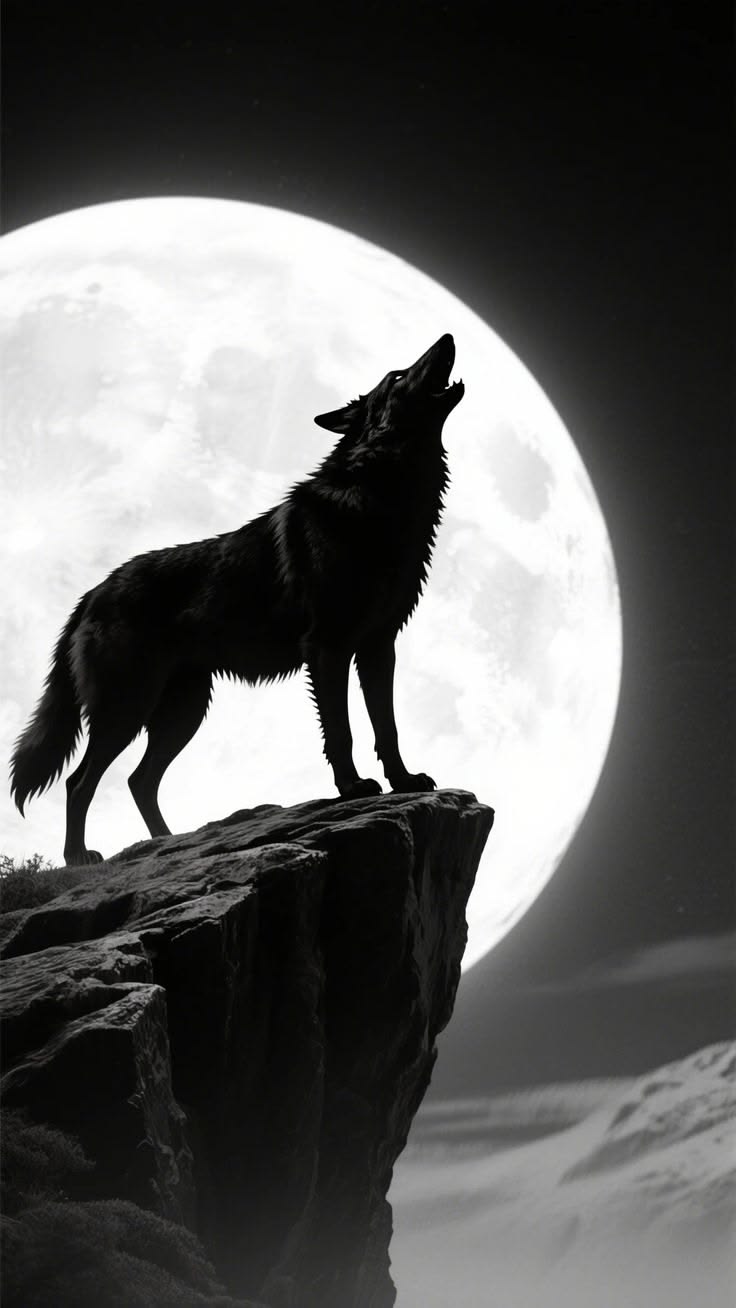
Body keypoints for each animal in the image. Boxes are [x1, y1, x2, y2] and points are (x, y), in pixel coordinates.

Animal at [10, 334, 465, 865]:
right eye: (397, 376)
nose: (448, 337)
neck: (380, 496)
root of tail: (89, 594)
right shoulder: (328, 649)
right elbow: (342, 730)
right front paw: (353, 788)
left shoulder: (377, 648)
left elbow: (386, 728)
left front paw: (404, 781)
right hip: (128, 710)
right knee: (80, 782)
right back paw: (79, 857)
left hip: (181, 714)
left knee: (139, 781)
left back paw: (166, 841)